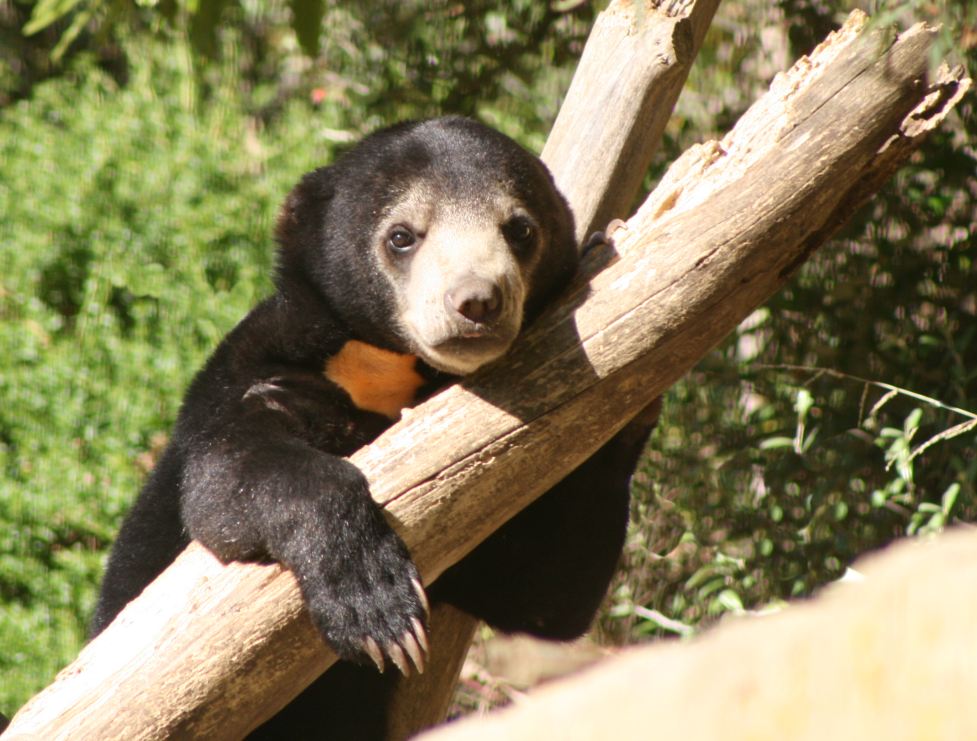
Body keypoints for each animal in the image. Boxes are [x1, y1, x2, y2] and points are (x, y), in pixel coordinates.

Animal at [91, 116, 656, 739]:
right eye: (402, 236)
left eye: (520, 228)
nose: (478, 302)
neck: (384, 368)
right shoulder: (245, 378)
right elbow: (226, 480)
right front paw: (376, 610)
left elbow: (544, 592)